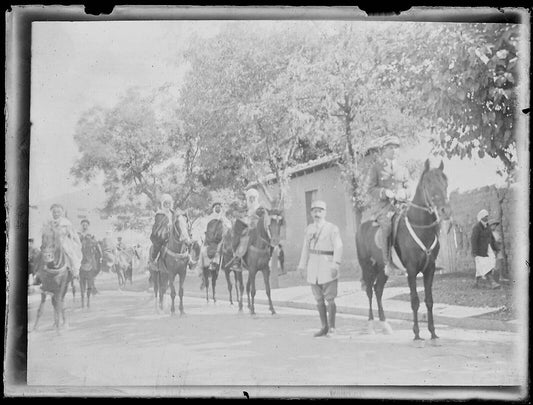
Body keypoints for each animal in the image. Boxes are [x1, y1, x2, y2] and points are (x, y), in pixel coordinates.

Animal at [358, 158, 448, 344]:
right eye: (428, 182)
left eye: (445, 181)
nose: (445, 210)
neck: (420, 227)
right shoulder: (412, 270)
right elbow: (414, 301)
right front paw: (417, 333)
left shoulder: (430, 269)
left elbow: (429, 300)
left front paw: (433, 332)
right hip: (367, 267)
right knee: (370, 291)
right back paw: (371, 326)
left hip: (382, 269)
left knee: (378, 290)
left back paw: (385, 325)